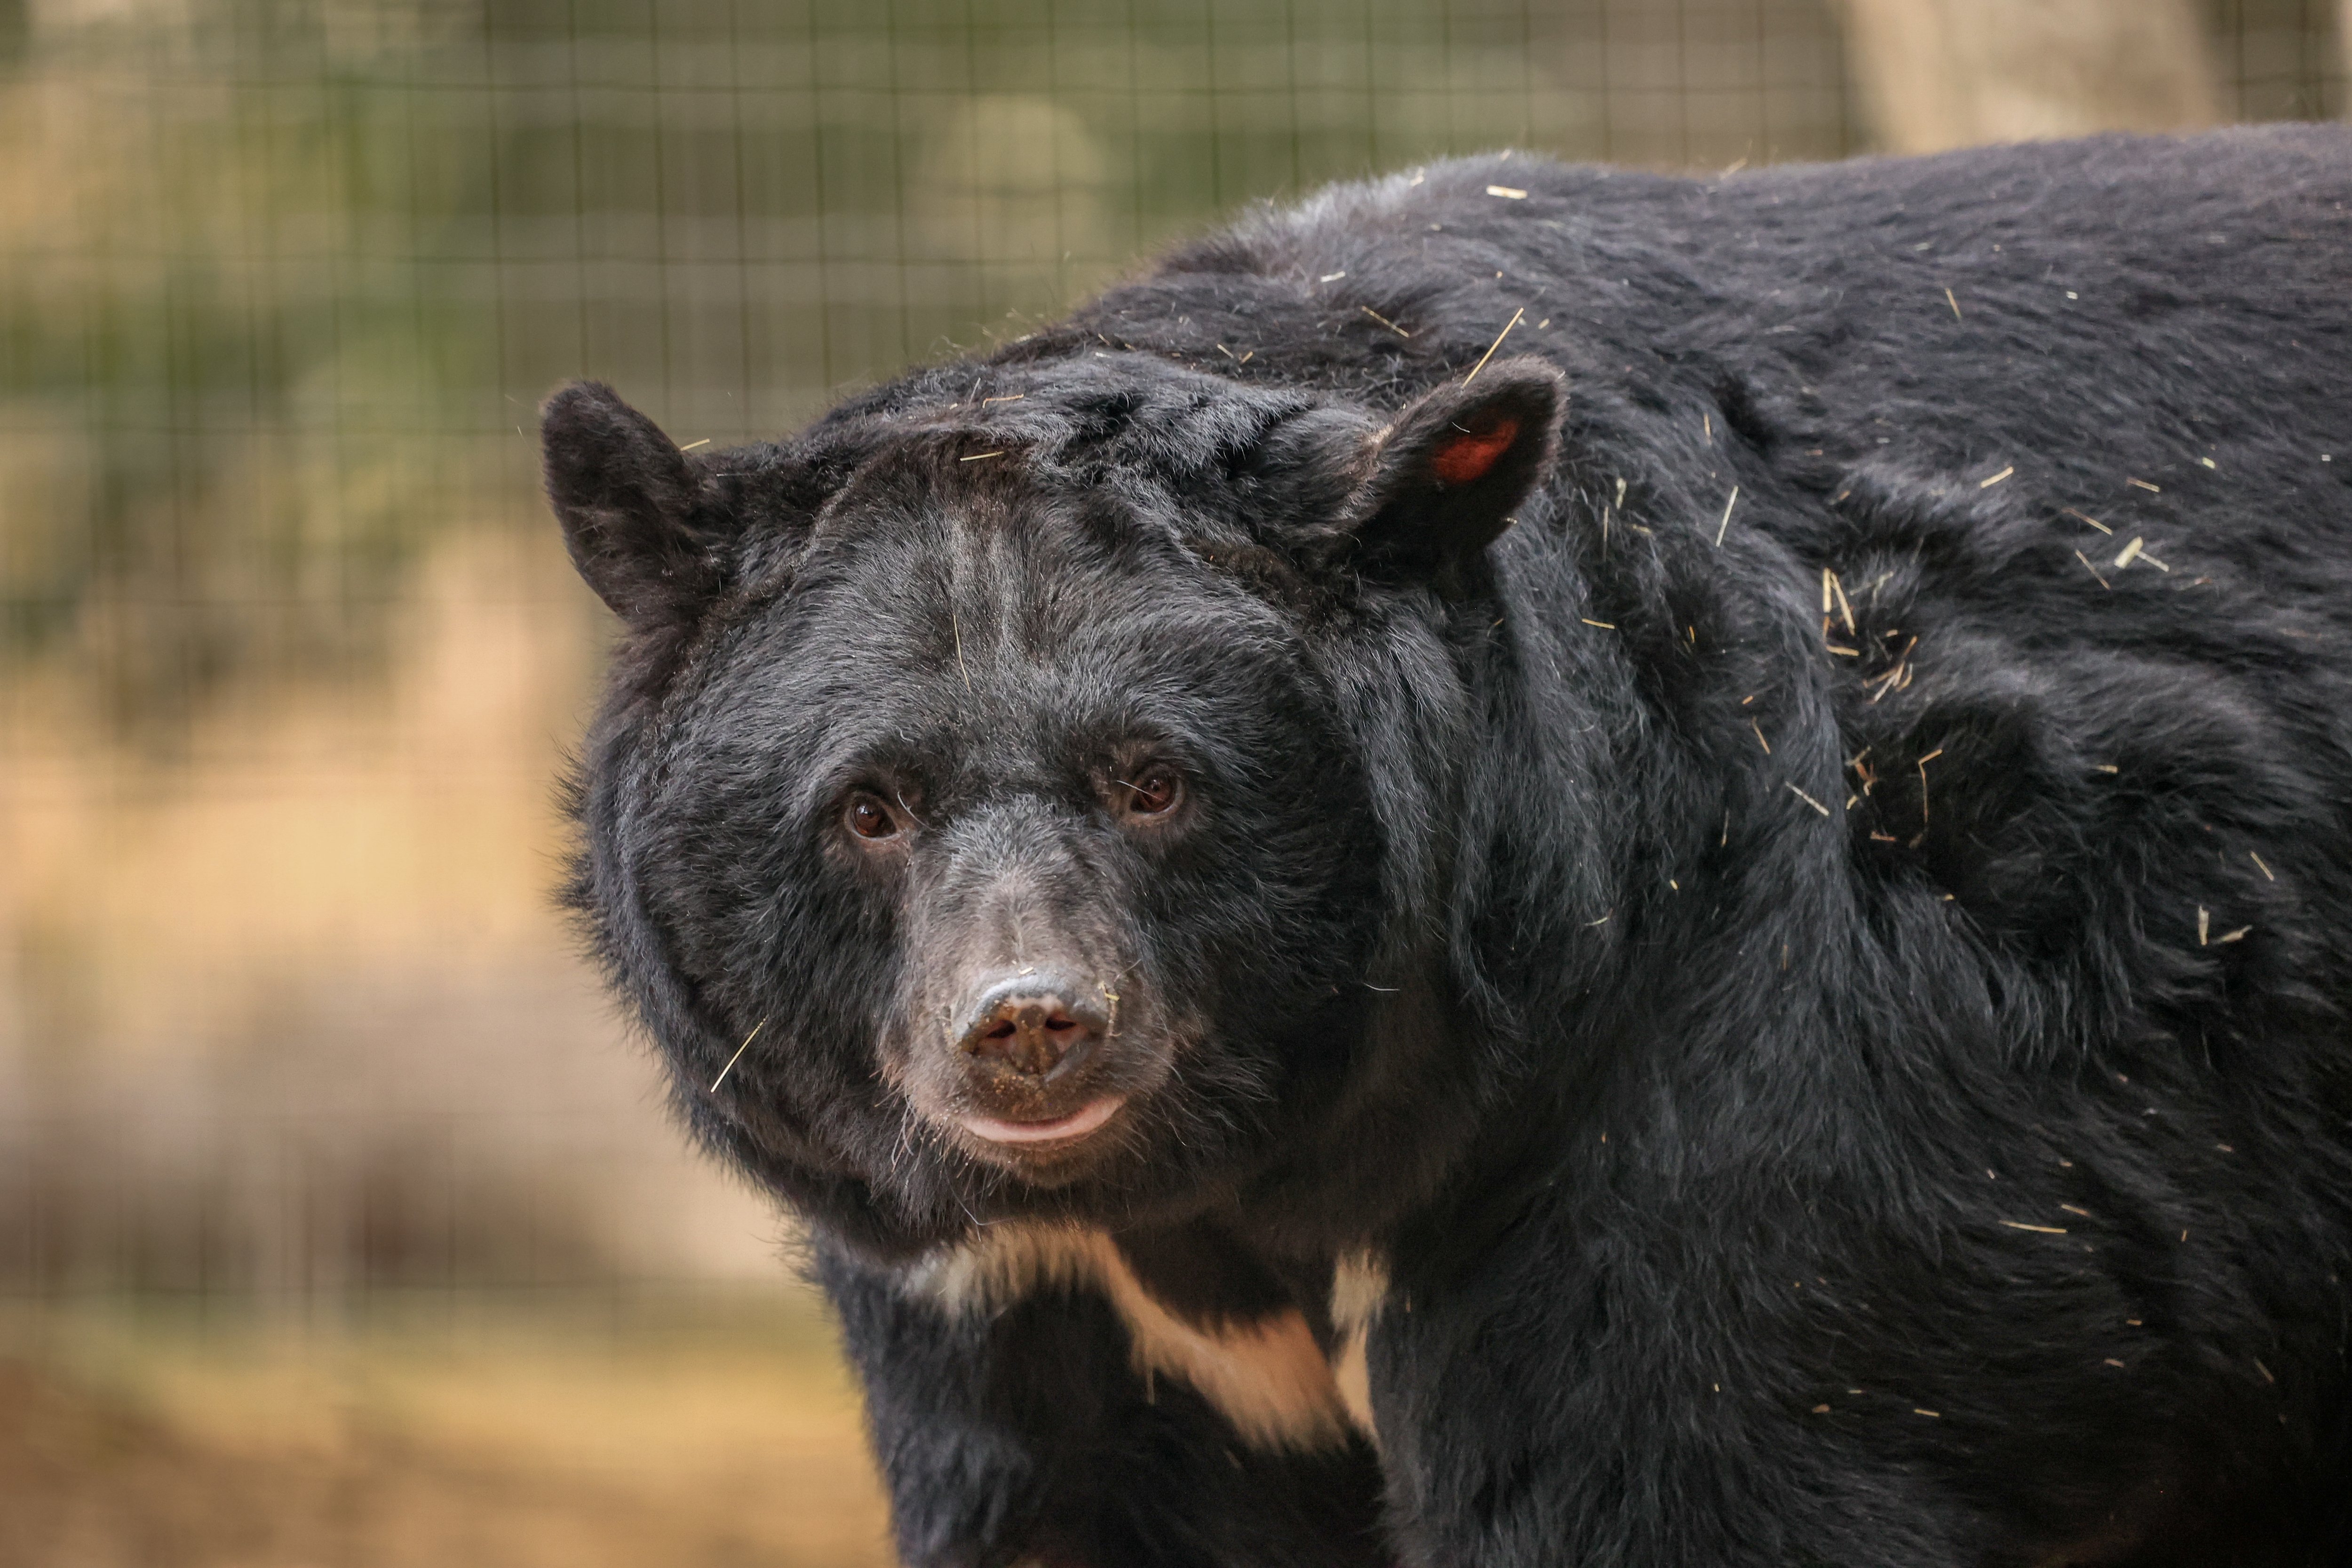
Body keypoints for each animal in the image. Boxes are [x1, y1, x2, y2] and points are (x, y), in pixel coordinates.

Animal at [542, 126, 2352, 1567]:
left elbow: (1689, 1464)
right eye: (871, 807)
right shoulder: (1002, 1294)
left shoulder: (1722, 1069)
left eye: (1155, 782)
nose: (1028, 1028)